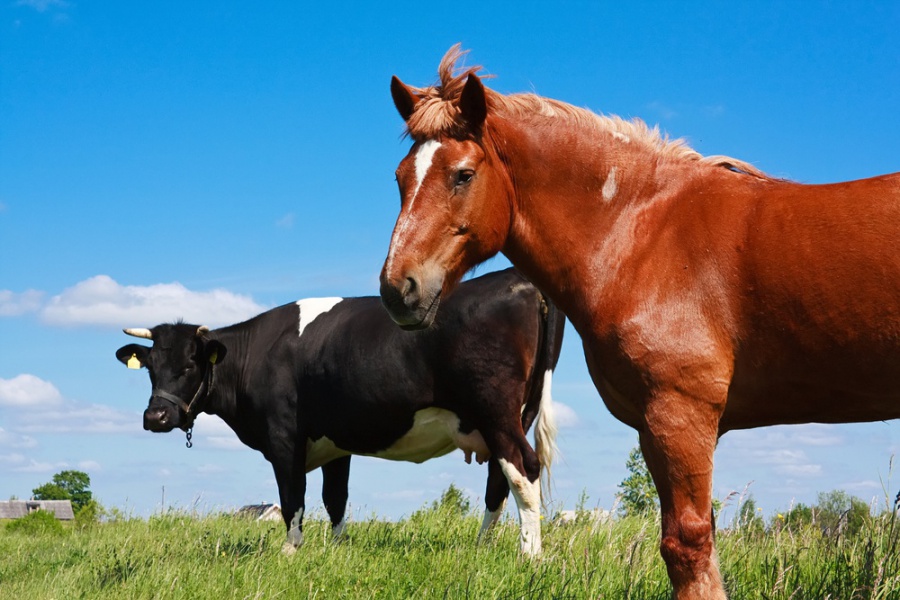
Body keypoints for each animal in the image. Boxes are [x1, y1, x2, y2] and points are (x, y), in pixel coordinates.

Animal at [113, 270, 564, 556]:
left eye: (190, 366)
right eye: (151, 367)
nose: (155, 418)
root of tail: (522, 280)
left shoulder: (284, 439)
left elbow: (292, 496)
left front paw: (291, 549)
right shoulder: (335, 443)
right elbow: (335, 498)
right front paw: (338, 548)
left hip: (496, 410)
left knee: (523, 470)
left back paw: (529, 555)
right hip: (512, 415)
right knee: (500, 482)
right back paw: (482, 547)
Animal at [378, 44, 900, 596]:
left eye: (463, 174)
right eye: (400, 178)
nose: (398, 290)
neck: (644, 233)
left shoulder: (679, 415)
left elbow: (687, 544)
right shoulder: (660, 428)